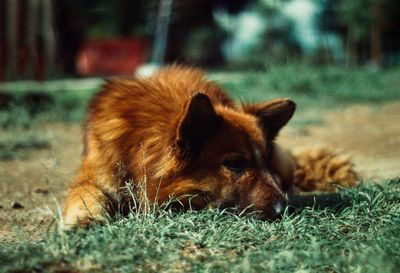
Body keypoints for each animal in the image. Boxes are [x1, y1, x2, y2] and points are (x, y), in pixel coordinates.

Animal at [63, 66, 360, 227]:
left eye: (266, 161)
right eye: (235, 164)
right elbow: (85, 193)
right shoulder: (96, 171)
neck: (139, 144)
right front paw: (83, 218)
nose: (285, 210)